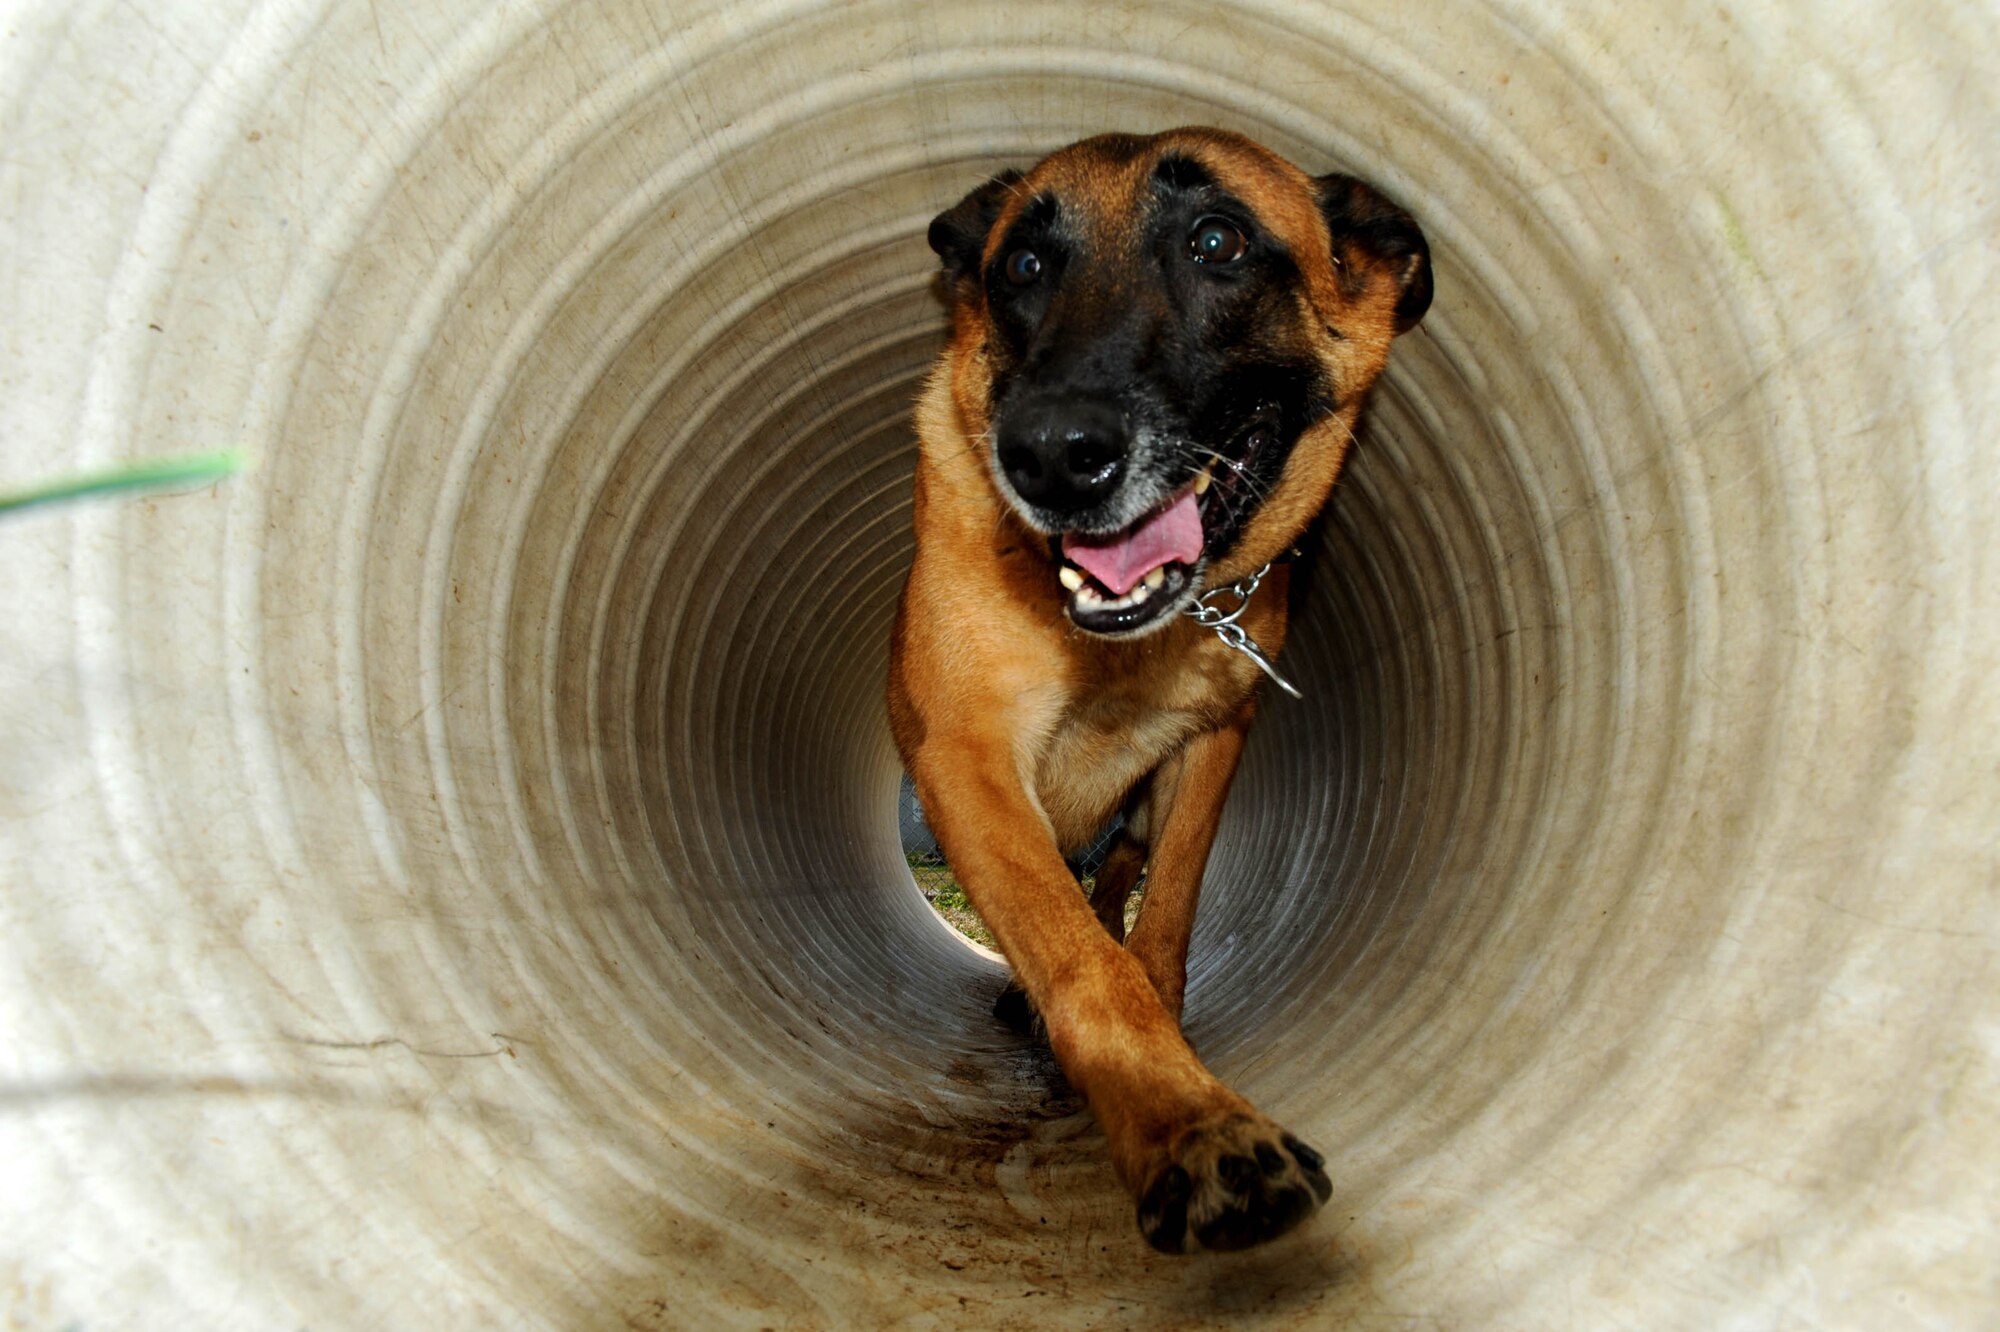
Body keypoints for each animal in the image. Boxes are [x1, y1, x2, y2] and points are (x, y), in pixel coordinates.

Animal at [884, 130, 1432, 1248]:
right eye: (1022, 265)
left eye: (1216, 240)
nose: (1050, 454)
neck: (1119, 653)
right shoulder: (966, 761)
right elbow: (1082, 963)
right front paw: (1189, 1128)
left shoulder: (1208, 744)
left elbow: (1164, 923)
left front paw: (1176, 1058)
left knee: (1117, 873)